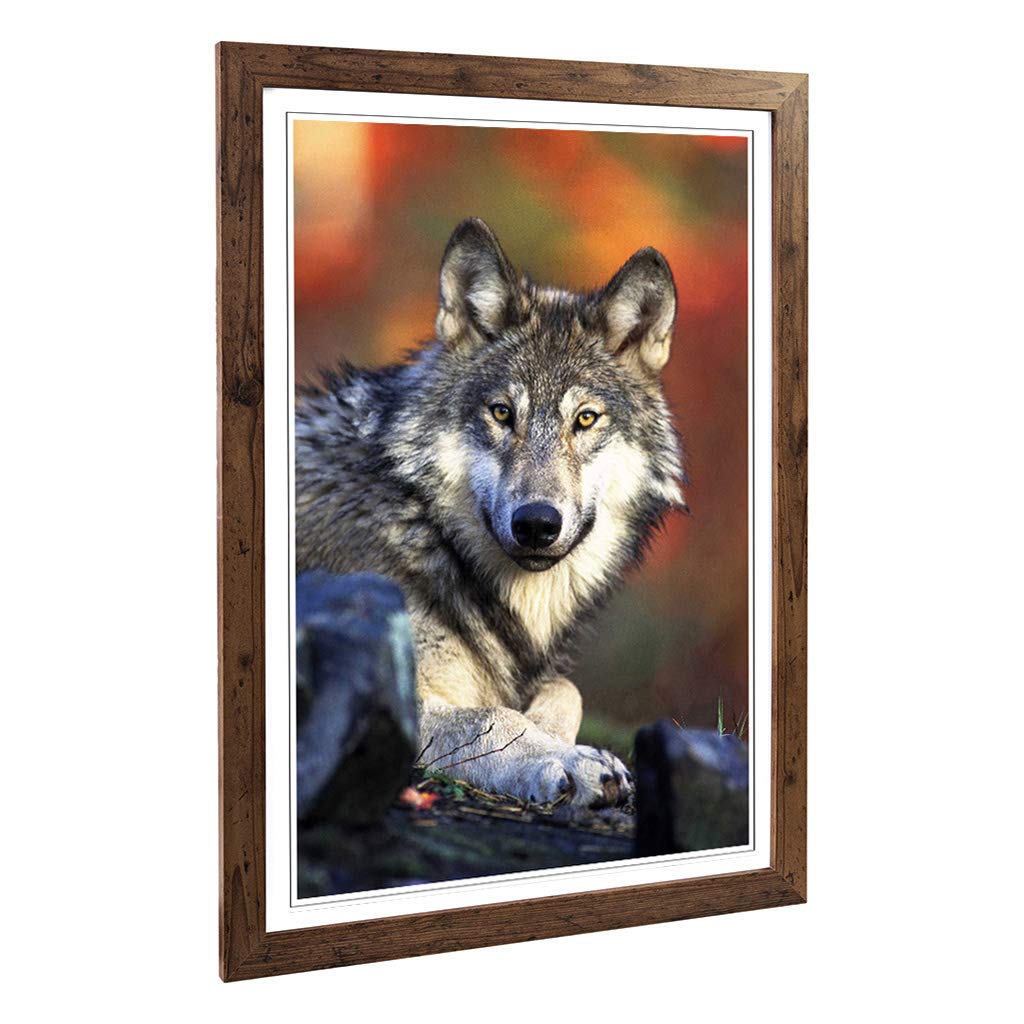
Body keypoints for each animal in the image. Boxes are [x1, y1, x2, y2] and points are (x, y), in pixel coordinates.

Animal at [296, 218, 686, 810]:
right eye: (502, 413)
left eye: (585, 419)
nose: (537, 523)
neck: (423, 526)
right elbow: (494, 717)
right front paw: (568, 760)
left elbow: (565, 689)